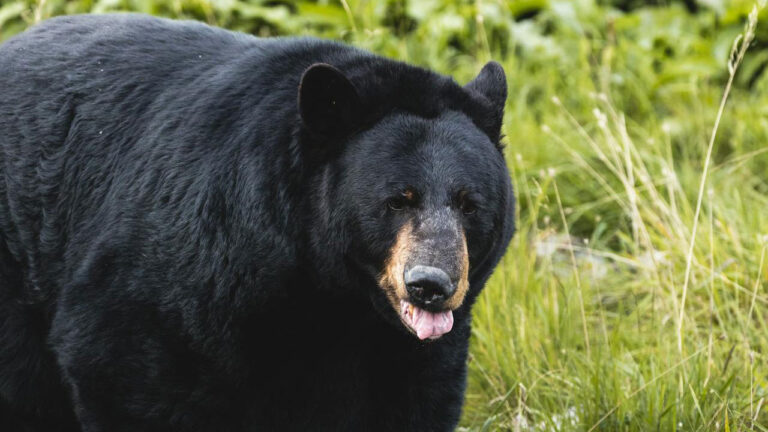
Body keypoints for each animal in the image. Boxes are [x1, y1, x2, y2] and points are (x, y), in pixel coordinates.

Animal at [0, 13, 515, 432]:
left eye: (469, 204)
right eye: (396, 201)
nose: (431, 284)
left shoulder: (405, 349)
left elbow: (414, 397)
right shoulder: (187, 269)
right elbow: (120, 367)